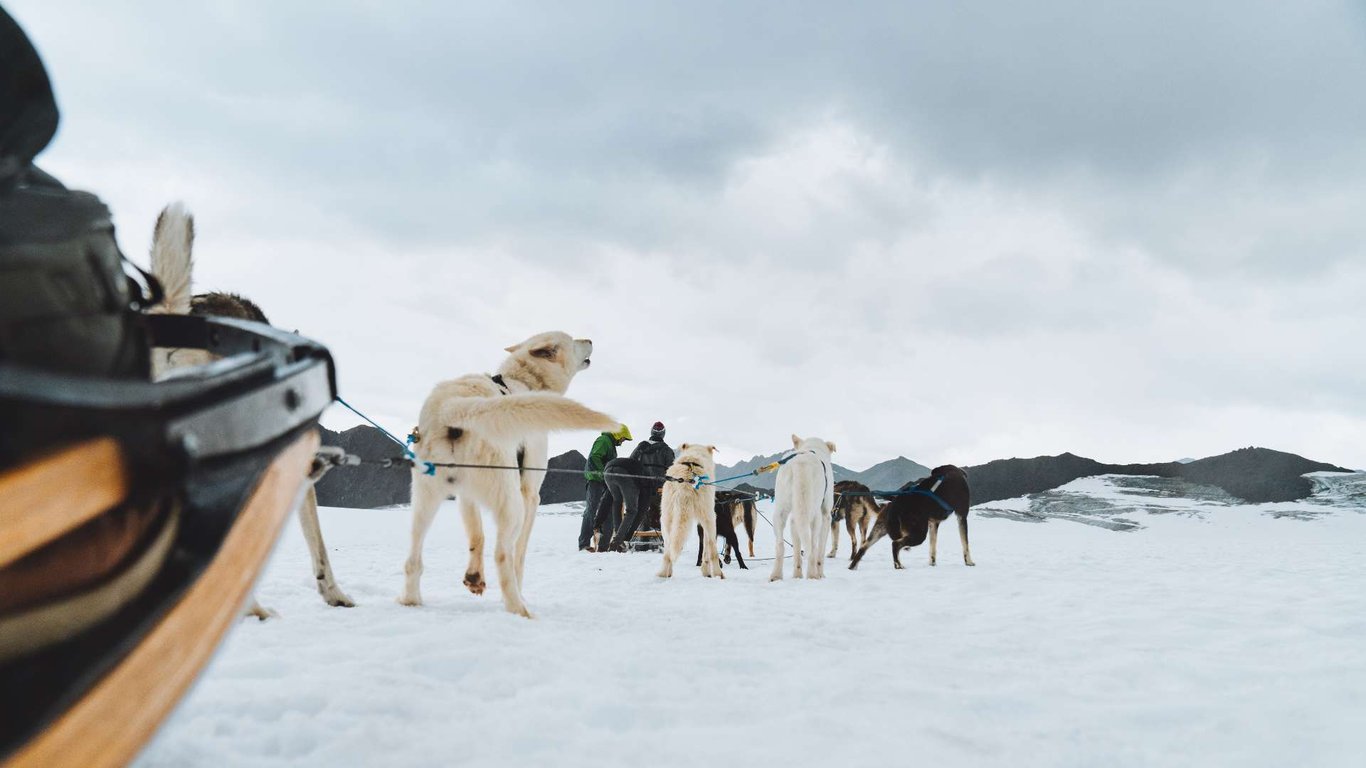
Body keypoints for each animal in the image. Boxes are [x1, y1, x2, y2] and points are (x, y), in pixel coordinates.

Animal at [398, 332, 620, 612]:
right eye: (572, 340)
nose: (590, 340)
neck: (524, 381)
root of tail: (455, 406)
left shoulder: (466, 496)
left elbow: (477, 536)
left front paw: (474, 578)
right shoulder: (531, 496)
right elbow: (519, 554)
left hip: (424, 501)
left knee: (413, 559)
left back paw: (411, 600)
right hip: (512, 503)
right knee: (503, 554)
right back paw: (519, 608)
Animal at [652, 442, 721, 573]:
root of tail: (685, 481)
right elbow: (706, 548)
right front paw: (705, 569)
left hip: (666, 520)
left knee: (668, 551)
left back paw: (664, 573)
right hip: (710, 518)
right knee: (712, 549)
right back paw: (717, 573)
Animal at [770, 434, 830, 576]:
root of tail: (801, 462)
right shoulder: (826, 515)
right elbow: (821, 550)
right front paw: (821, 574)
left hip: (781, 511)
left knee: (780, 545)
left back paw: (777, 575)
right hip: (815, 514)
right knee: (813, 547)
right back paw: (813, 575)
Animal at [846, 459, 978, 568]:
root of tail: (895, 503)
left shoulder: (933, 523)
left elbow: (933, 547)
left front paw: (932, 563)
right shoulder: (962, 516)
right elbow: (965, 543)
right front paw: (969, 562)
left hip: (879, 530)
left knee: (863, 548)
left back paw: (853, 567)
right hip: (919, 533)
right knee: (895, 544)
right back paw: (898, 565)